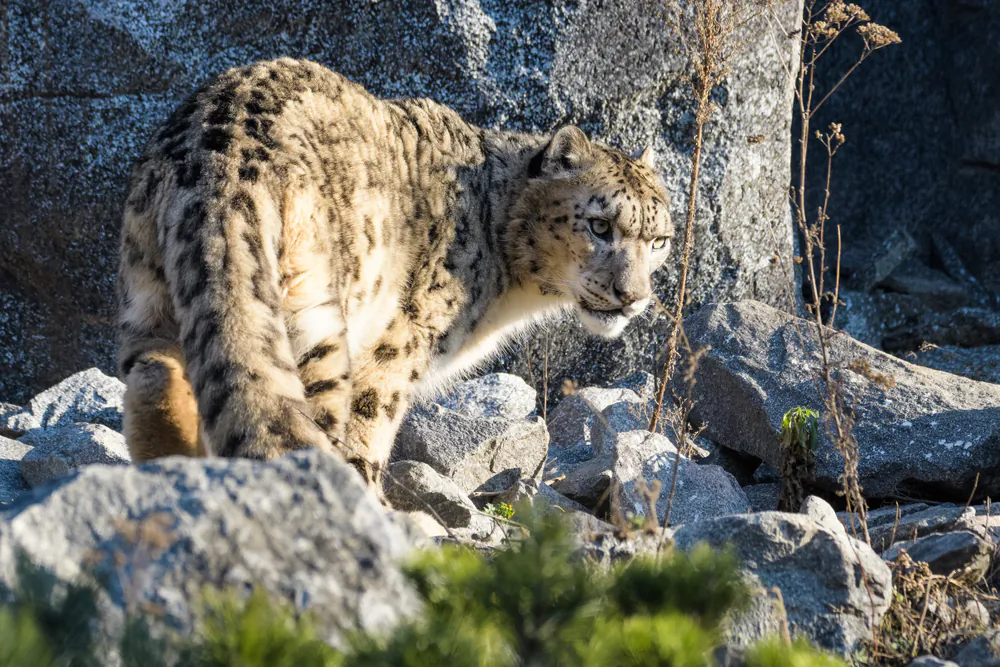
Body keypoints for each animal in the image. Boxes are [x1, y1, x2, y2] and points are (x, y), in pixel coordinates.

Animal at [116, 57, 674, 498]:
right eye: (599, 225)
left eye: (660, 240)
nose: (632, 297)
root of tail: (222, 159)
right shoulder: (401, 342)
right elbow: (371, 425)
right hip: (315, 312)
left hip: (150, 291)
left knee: (156, 374)